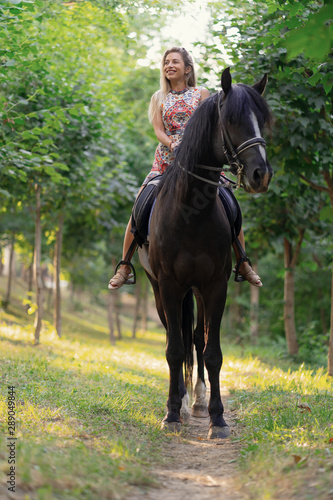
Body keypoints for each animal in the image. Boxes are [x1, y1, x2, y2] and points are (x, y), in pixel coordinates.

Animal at [138, 68, 272, 440]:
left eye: (262, 121)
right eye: (232, 120)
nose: (261, 174)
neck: (190, 212)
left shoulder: (215, 286)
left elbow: (211, 352)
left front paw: (217, 418)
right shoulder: (169, 285)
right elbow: (174, 350)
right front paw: (172, 413)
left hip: (195, 290)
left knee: (195, 337)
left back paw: (196, 401)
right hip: (161, 290)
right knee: (178, 337)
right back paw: (182, 403)